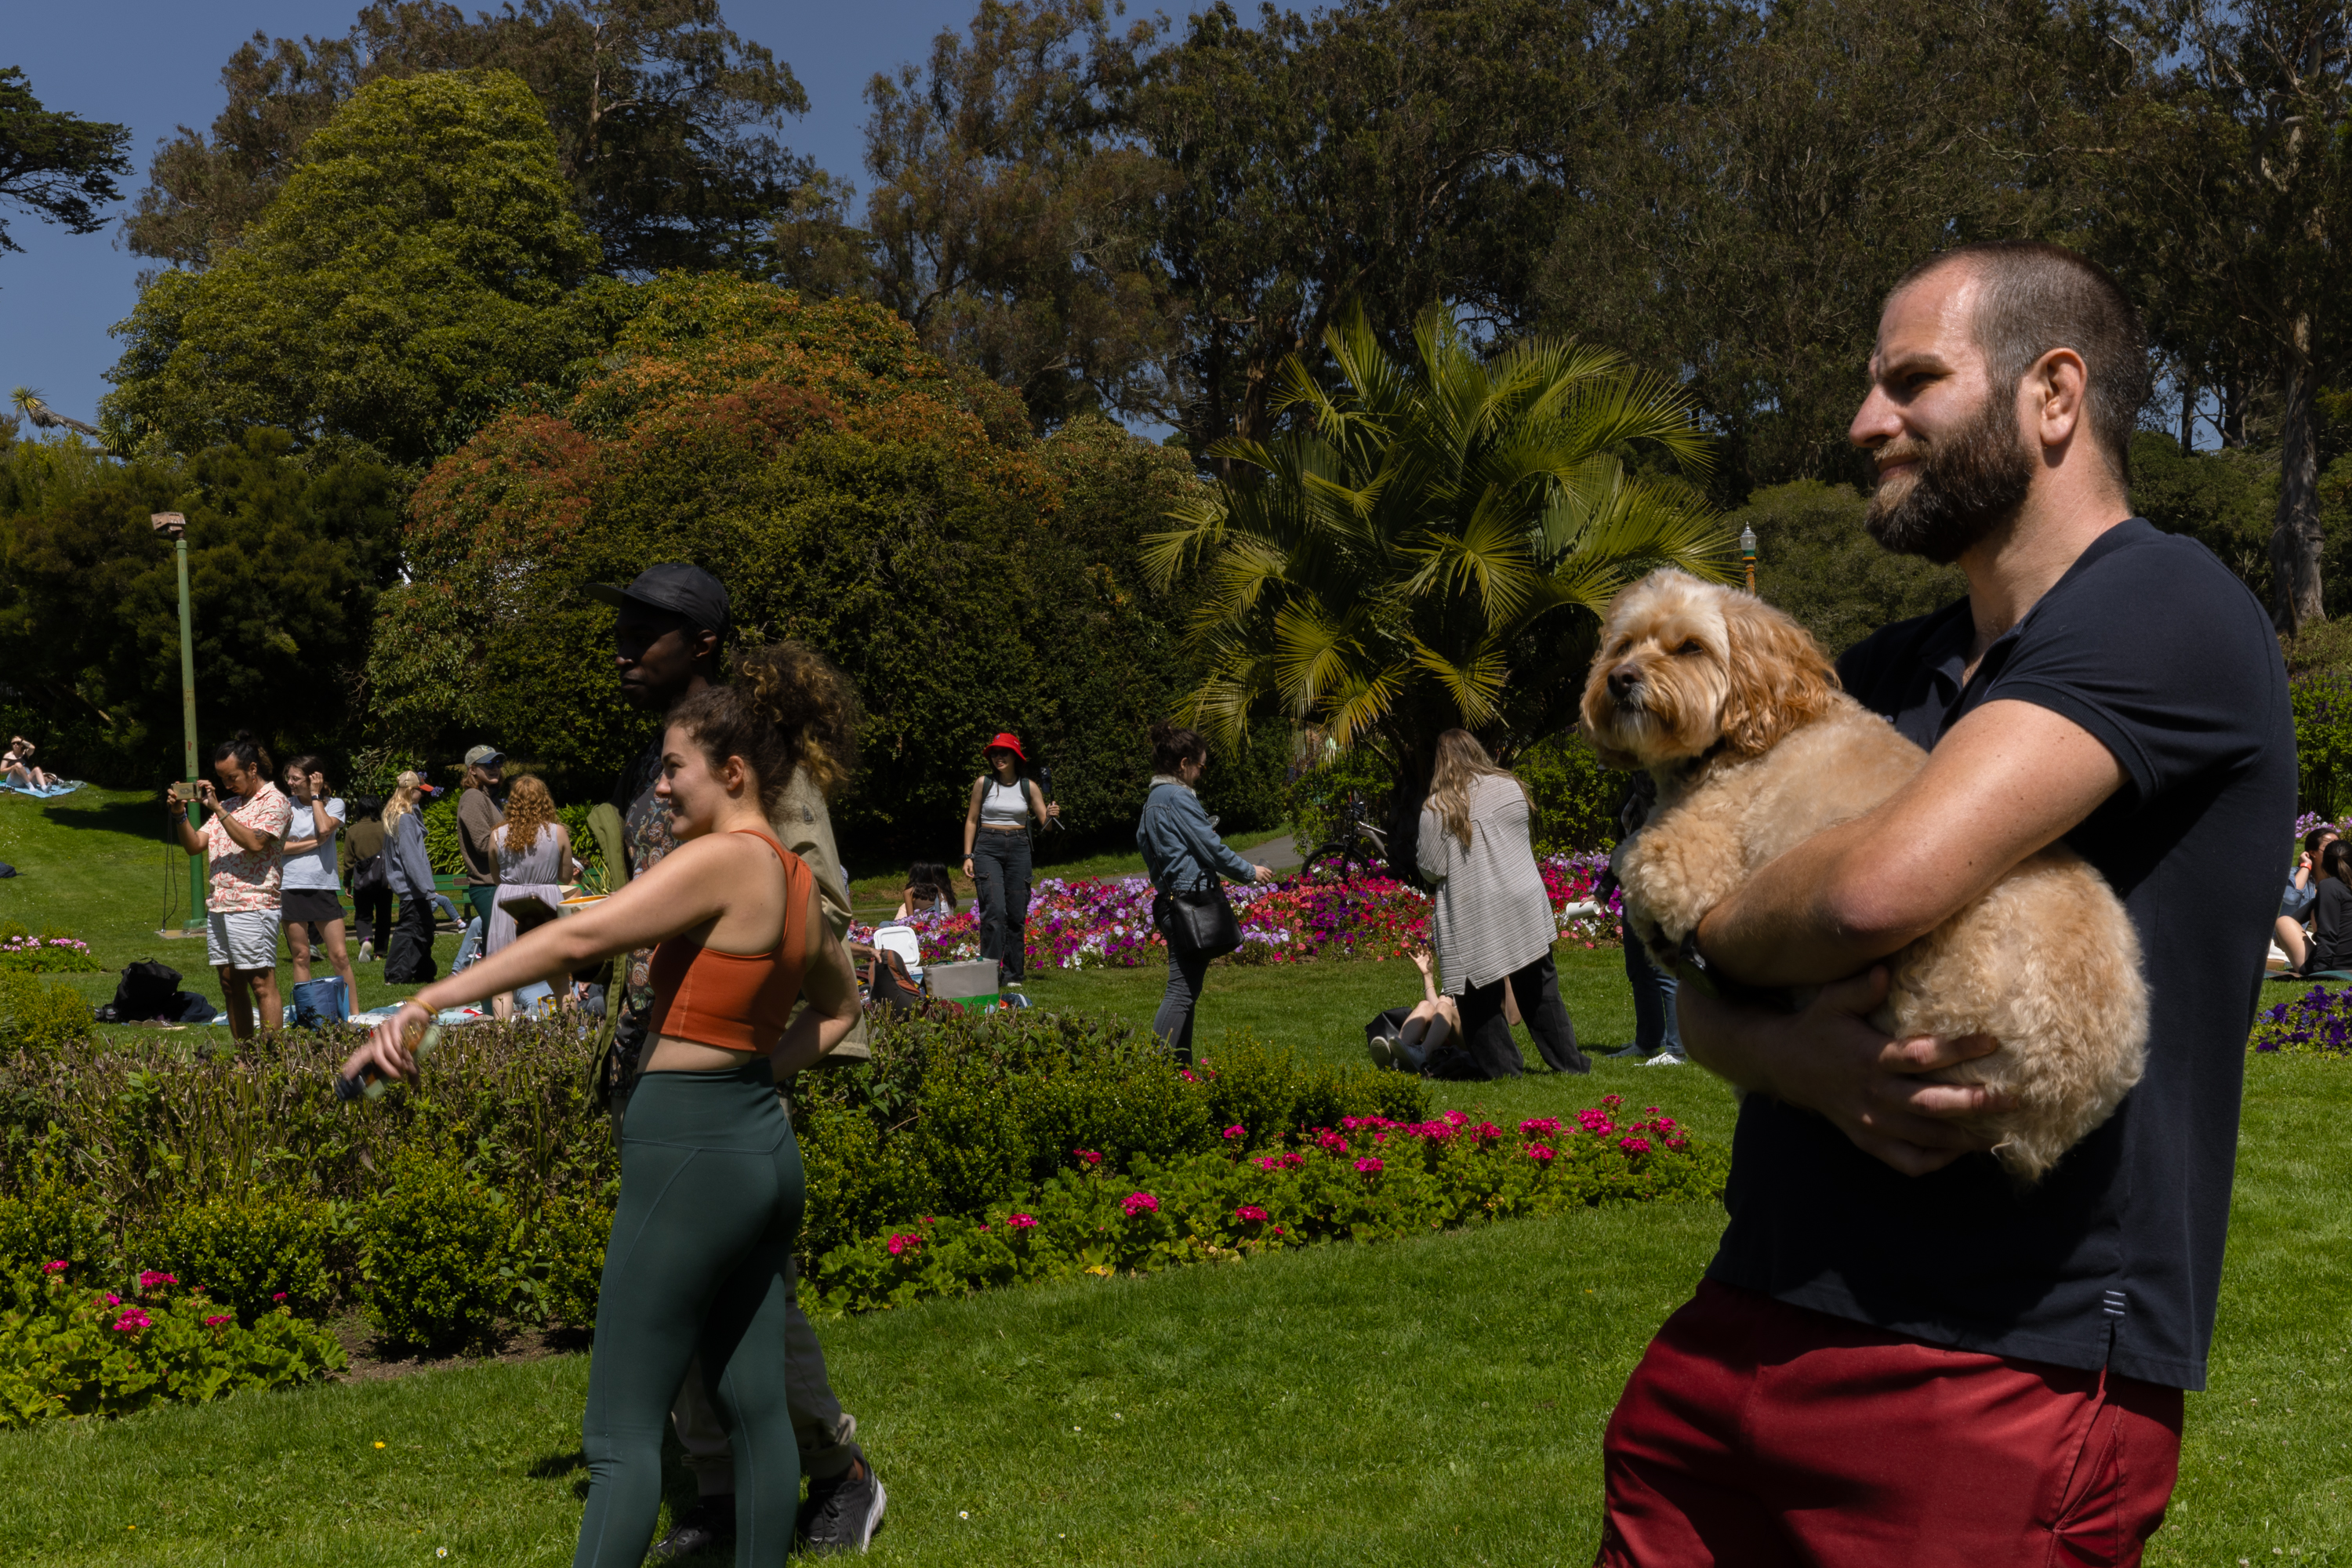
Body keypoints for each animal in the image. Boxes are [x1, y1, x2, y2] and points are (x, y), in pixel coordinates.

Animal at [1581, 571, 2154, 1185]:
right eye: (1623, 644)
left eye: (1690, 647)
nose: (1620, 678)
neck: (1746, 732)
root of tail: (2063, 1109)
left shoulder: (1685, 864)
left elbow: (1636, 867)